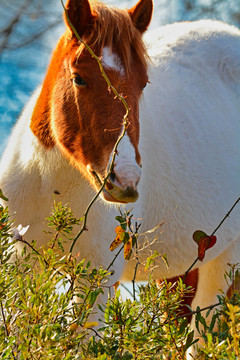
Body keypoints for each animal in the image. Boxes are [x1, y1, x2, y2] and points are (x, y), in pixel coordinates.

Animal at [0, 0, 240, 356]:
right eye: (79, 78)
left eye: (143, 84)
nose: (125, 179)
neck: (49, 185)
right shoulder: (19, 263)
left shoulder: (97, 280)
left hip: (223, 265)